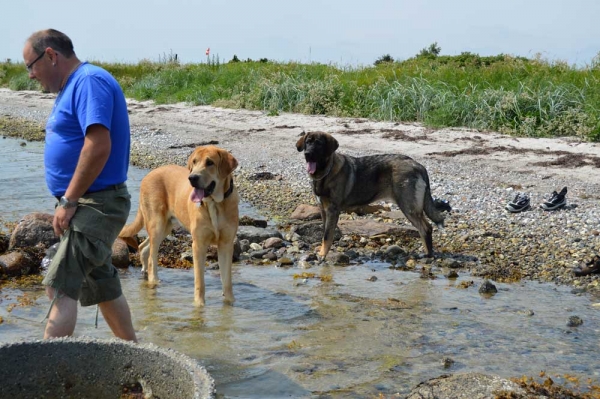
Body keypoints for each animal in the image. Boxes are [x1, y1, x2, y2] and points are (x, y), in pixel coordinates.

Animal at [119, 147, 239, 306]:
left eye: (210, 162)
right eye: (194, 162)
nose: (192, 178)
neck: (215, 203)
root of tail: (149, 174)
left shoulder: (226, 244)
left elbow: (227, 282)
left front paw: (230, 305)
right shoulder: (199, 244)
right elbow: (199, 281)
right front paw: (199, 306)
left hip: (166, 226)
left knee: (143, 247)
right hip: (157, 224)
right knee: (152, 258)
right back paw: (154, 282)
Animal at [296, 132, 450, 260]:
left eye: (319, 144)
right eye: (308, 142)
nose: (307, 154)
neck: (325, 173)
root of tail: (418, 165)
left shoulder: (332, 210)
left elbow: (327, 235)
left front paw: (323, 255)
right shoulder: (323, 210)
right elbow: (324, 232)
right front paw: (322, 250)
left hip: (408, 206)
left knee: (426, 228)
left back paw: (428, 255)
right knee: (425, 228)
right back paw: (427, 253)